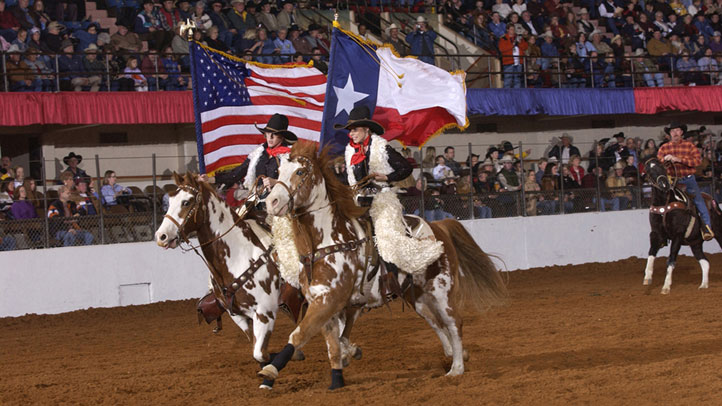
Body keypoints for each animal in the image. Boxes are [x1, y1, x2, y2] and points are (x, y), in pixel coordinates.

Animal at [156, 171, 302, 386]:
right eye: (170, 200)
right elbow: (257, 352)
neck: (239, 254)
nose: (162, 236)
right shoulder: (239, 316)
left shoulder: (265, 312)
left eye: (186, 202)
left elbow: (261, 353)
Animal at [258, 143, 506, 390]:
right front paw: (338, 377)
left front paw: (270, 372)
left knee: (454, 323)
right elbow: (333, 345)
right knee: (436, 323)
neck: (328, 241)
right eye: (278, 173)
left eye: (300, 172)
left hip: (442, 292)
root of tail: (439, 226)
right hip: (416, 298)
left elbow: (300, 335)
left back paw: (456, 369)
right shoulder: (324, 303)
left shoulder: (329, 300)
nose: (272, 202)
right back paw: (454, 355)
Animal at [640, 157, 720, 294]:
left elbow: (671, 258)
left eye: (662, 167)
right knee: (705, 262)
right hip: (695, 243)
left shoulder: (677, 234)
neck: (665, 204)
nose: (664, 184)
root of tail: (714, 201)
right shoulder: (656, 233)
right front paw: (647, 277)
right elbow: (651, 252)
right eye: (649, 171)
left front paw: (666, 286)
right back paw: (703, 285)